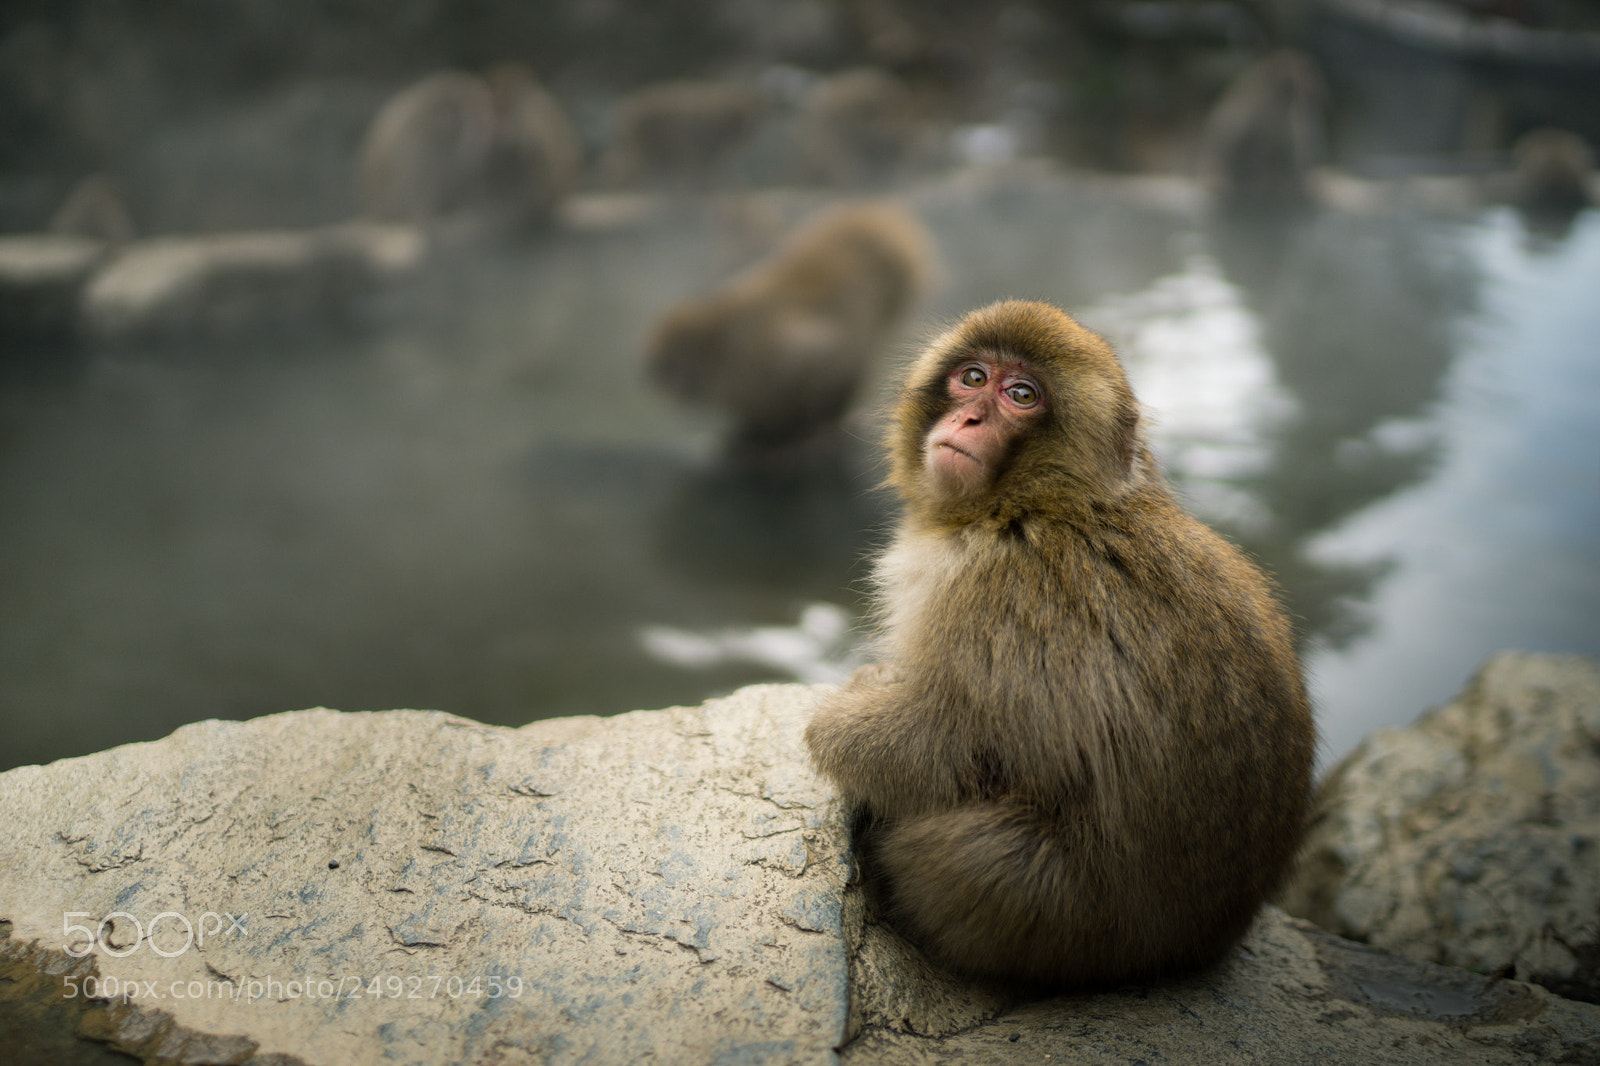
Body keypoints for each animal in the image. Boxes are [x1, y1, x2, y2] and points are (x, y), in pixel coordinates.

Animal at [645, 200, 932, 465]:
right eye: (660, 365)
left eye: (668, 363)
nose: (652, 375)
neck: (727, 350)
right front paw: (749, 434)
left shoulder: (784, 351)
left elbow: (827, 364)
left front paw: (808, 436)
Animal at [804, 299, 1315, 988]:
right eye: (972, 378)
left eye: (1021, 395)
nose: (968, 417)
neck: (1045, 502)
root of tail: (1202, 943)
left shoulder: (997, 593)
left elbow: (953, 744)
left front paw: (839, 720)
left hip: (1057, 918)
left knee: (961, 848)